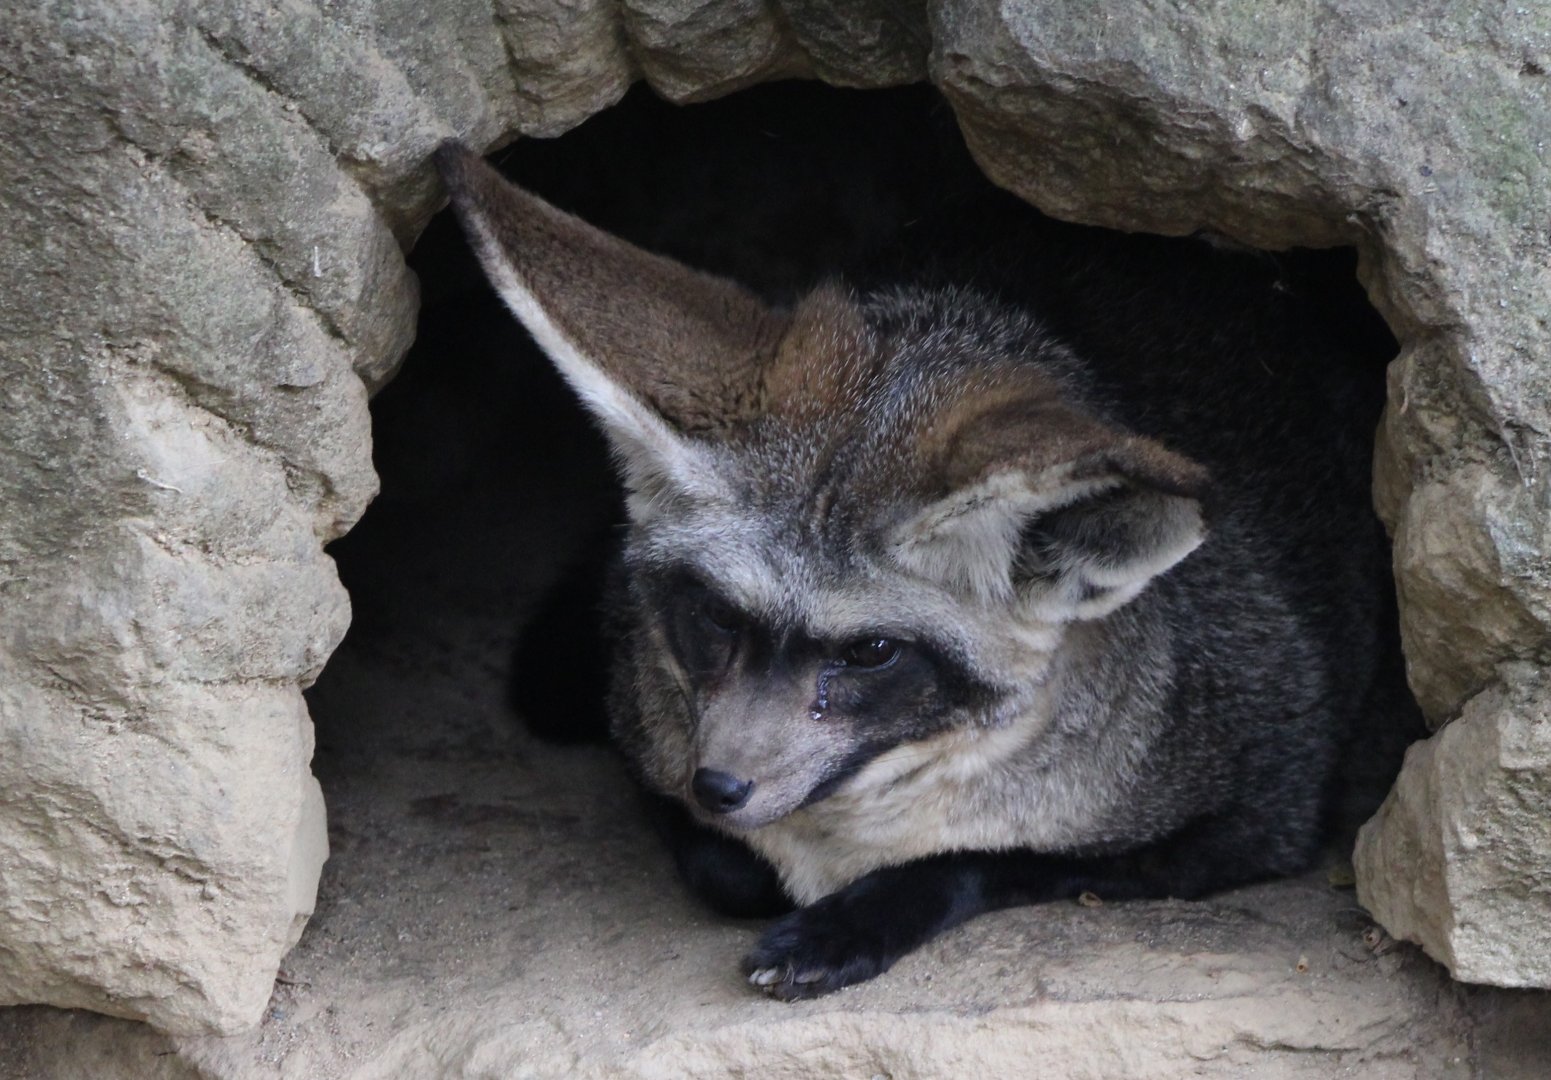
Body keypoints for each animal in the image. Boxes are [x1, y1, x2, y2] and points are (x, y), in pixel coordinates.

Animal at [433, 139, 1418, 1000]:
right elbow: (726, 869)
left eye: (869, 653)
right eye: (717, 619)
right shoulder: (643, 740)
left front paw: (844, 926)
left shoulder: (1257, 810)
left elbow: (983, 859)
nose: (721, 786)